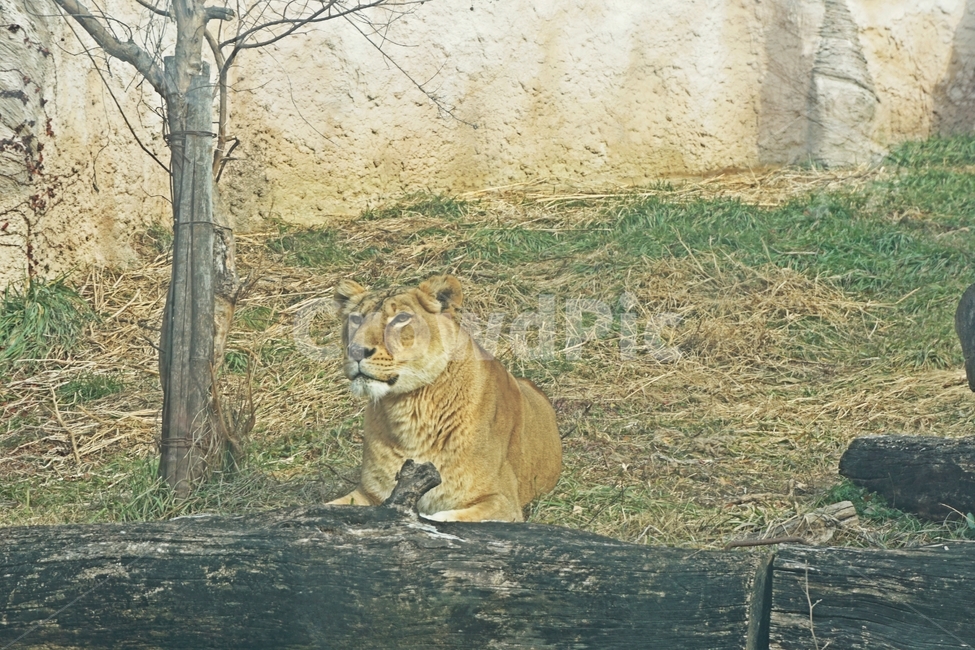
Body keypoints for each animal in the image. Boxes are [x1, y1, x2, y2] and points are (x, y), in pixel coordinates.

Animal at [327, 274, 562, 522]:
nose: (355, 351)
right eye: (356, 319)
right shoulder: (368, 494)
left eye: (401, 318)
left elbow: (446, 518)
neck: (409, 409)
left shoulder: (503, 502)